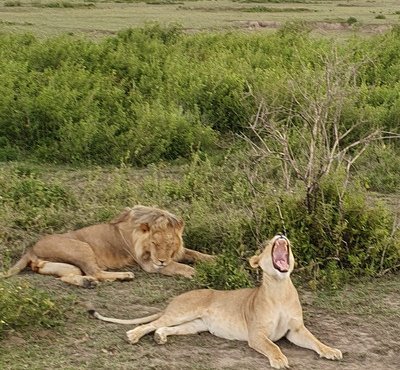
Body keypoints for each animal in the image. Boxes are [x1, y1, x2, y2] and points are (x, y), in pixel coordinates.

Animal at [0, 205, 212, 286]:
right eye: (154, 243)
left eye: (170, 243)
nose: (161, 261)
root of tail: (31, 249)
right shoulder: (149, 264)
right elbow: (181, 267)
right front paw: (197, 273)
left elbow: (196, 254)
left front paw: (214, 260)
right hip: (83, 248)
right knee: (96, 272)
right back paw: (124, 276)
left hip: (63, 265)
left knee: (68, 276)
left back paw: (87, 283)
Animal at [90, 236, 340, 368]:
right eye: (268, 244)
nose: (281, 236)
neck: (280, 288)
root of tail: (176, 298)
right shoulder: (256, 334)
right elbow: (273, 345)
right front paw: (279, 359)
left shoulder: (295, 330)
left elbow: (316, 341)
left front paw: (332, 351)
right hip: (183, 312)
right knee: (151, 323)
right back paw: (133, 335)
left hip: (195, 325)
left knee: (163, 328)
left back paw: (160, 338)